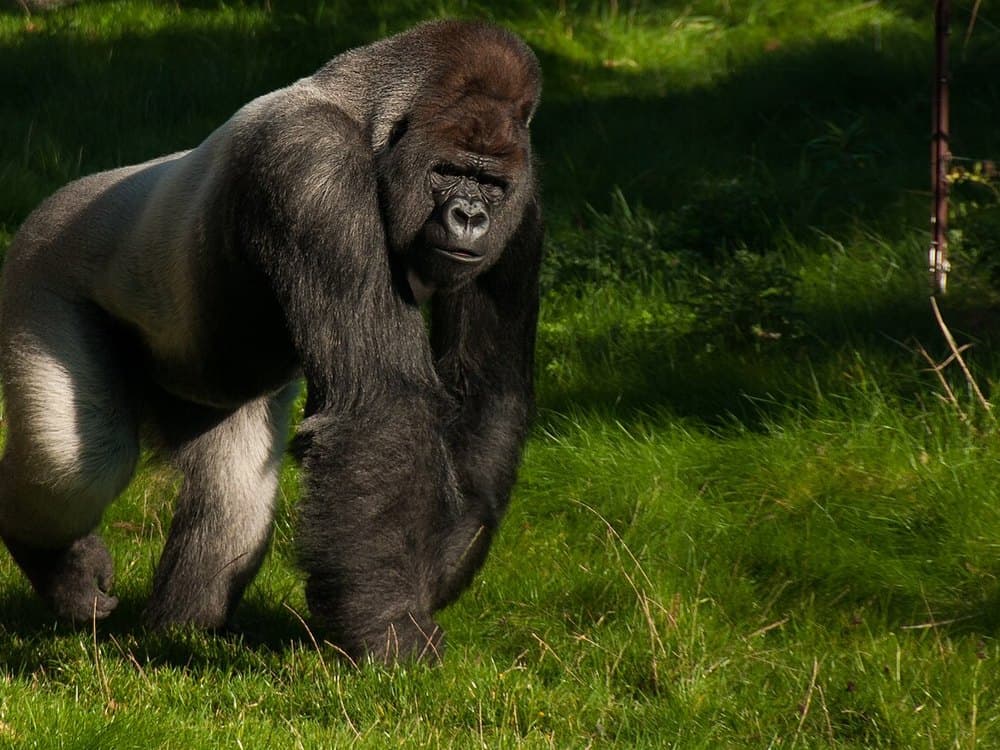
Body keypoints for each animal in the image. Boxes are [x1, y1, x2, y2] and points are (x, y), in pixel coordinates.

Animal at [0, 20, 542, 663]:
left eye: (491, 183)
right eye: (448, 172)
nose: (470, 217)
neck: (369, 114)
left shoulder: (524, 212)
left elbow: (484, 391)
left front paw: (434, 567)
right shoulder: (313, 166)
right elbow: (380, 404)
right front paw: (388, 626)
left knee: (233, 499)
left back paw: (177, 632)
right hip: (38, 268)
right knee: (80, 464)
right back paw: (55, 561)